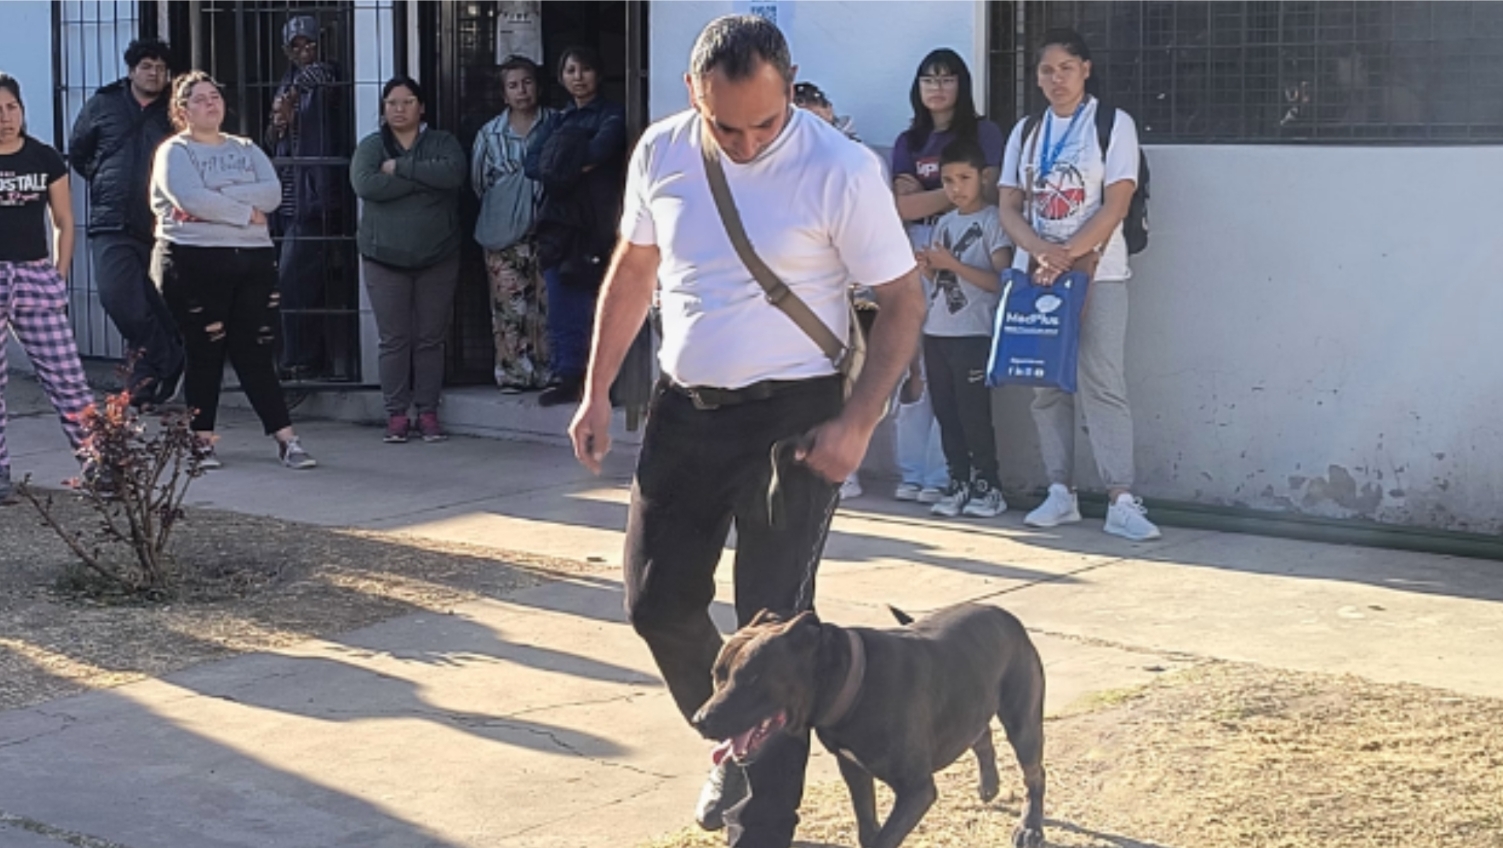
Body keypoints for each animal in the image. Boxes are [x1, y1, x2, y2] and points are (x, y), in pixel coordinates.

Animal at [690, 602, 1046, 848]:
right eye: (716, 674)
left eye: (751, 677)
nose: (699, 720)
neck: (855, 682)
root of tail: (1006, 615)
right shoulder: (854, 770)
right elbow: (867, 826)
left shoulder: (916, 790)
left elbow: (883, 838)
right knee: (980, 734)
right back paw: (989, 785)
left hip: (1023, 722)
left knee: (1034, 774)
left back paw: (1030, 827)